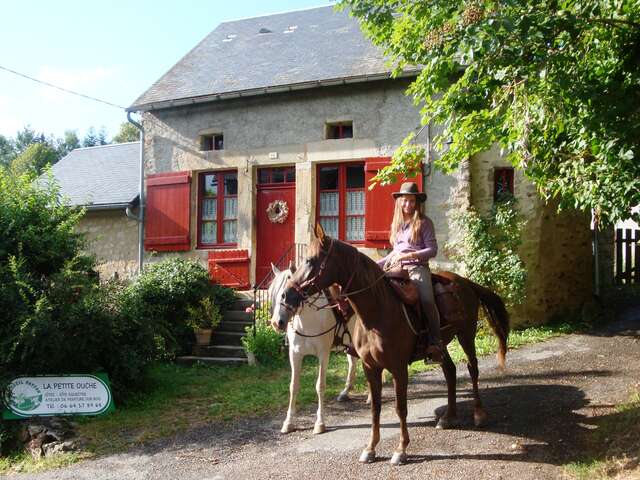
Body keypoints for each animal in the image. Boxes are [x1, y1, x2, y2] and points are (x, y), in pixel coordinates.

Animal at [268, 264, 362, 434]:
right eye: (274, 294)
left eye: (285, 295)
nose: (277, 323)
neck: (307, 321)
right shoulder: (295, 355)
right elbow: (293, 386)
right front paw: (288, 422)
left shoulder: (323, 355)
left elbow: (320, 386)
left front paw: (320, 423)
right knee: (353, 362)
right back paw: (345, 392)